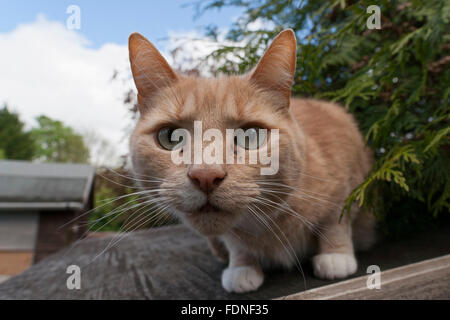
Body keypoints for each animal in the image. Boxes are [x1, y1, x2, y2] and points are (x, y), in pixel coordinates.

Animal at [128, 29, 374, 292]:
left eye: (250, 136)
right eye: (170, 137)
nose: (205, 176)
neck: (267, 225)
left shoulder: (347, 178)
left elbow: (336, 222)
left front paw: (336, 255)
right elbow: (236, 244)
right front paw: (242, 267)